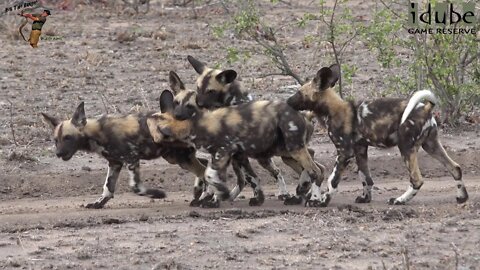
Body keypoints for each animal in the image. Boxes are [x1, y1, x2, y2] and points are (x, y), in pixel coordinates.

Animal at [41, 102, 206, 208]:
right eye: (56, 140)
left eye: (68, 137)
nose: (58, 153)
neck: (98, 132)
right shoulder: (115, 163)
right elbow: (108, 187)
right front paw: (98, 203)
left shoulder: (132, 158)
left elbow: (135, 187)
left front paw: (157, 194)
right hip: (178, 158)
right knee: (203, 168)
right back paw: (200, 195)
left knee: (206, 170)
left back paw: (206, 199)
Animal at [147, 89, 326, 208]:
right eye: (176, 103)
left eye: (189, 106)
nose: (177, 114)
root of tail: (303, 113)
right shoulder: (233, 156)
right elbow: (248, 178)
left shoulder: (224, 152)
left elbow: (210, 176)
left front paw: (217, 197)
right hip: (285, 152)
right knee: (317, 166)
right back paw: (302, 193)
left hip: (291, 149)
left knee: (315, 171)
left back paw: (315, 199)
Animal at [286, 63, 466, 207]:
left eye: (299, 93)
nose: (287, 101)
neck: (332, 110)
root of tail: (426, 108)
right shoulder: (360, 150)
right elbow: (366, 178)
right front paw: (365, 198)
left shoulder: (344, 153)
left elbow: (333, 180)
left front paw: (322, 201)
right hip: (431, 145)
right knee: (455, 168)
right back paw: (462, 197)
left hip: (406, 147)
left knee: (417, 179)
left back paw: (399, 200)